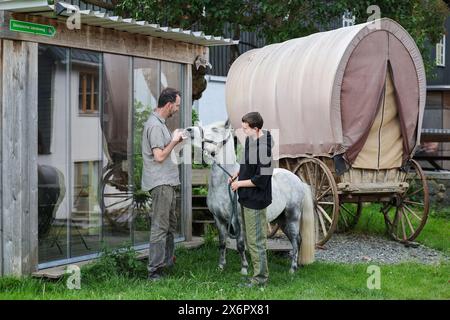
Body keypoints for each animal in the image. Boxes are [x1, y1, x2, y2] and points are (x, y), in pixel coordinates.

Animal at [185, 121, 314, 274]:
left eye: (215, 128)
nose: (189, 130)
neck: (224, 183)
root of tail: (299, 181)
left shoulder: (237, 220)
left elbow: (240, 244)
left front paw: (244, 269)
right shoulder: (218, 219)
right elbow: (222, 243)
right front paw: (221, 267)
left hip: (292, 216)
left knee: (296, 239)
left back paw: (292, 269)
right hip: (281, 220)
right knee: (295, 240)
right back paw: (296, 266)